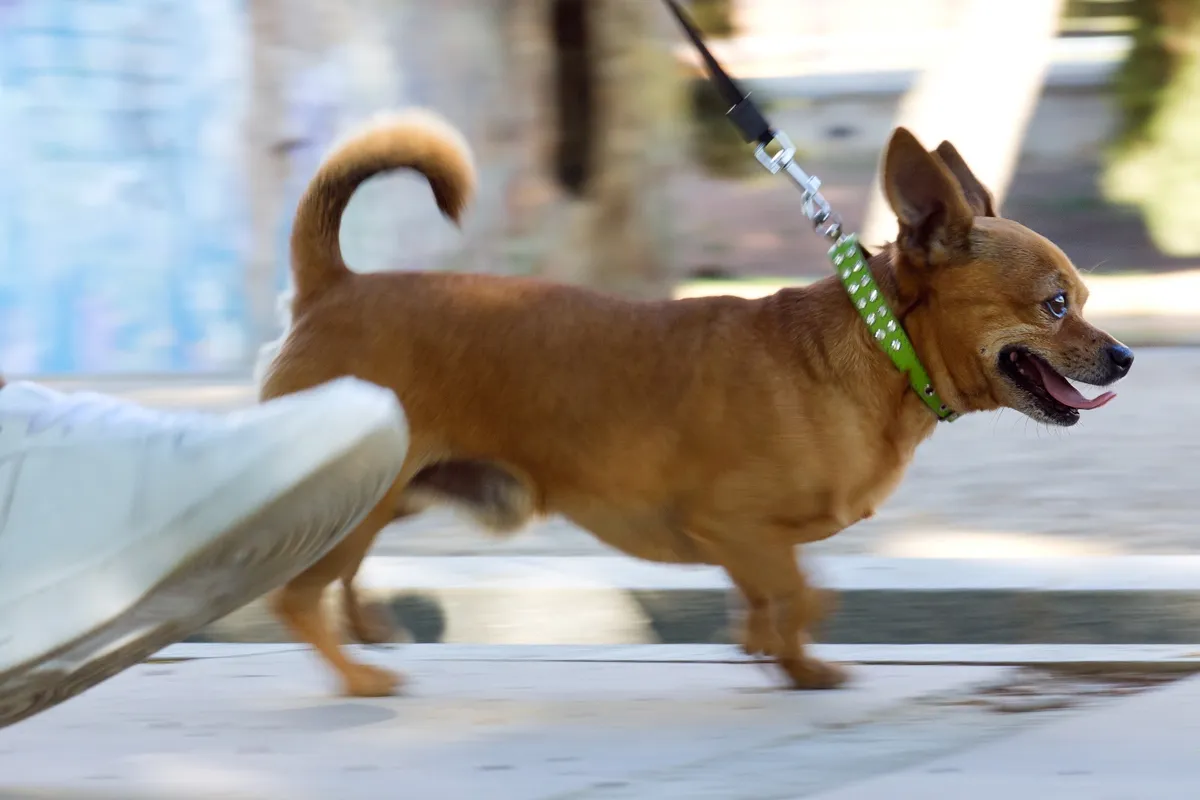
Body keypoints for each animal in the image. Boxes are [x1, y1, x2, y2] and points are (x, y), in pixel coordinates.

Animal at [260, 109, 1132, 695]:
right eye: (1057, 305)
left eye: (1085, 299)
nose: (1124, 356)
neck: (881, 346)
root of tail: (333, 286)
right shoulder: (733, 524)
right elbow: (802, 590)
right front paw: (800, 662)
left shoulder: (753, 542)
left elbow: (781, 592)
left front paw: (774, 652)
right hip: (358, 500)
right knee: (292, 595)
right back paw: (358, 677)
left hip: (390, 496)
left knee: (331, 578)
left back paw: (370, 628)